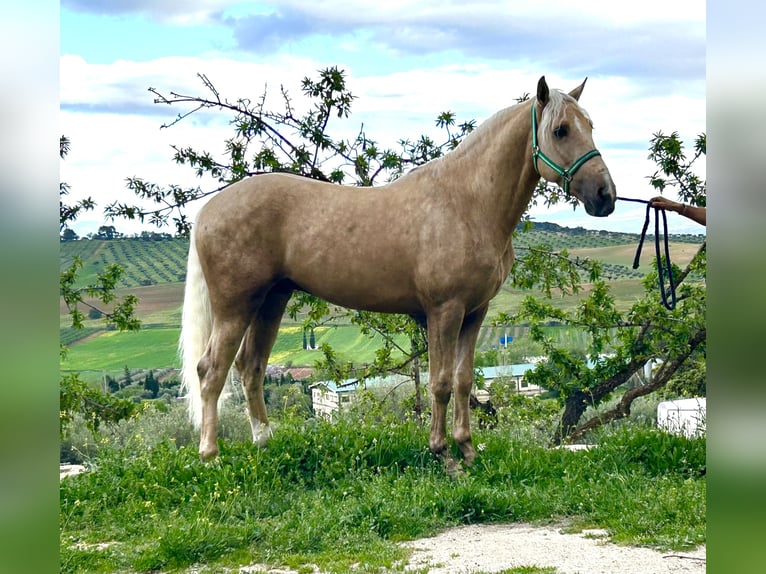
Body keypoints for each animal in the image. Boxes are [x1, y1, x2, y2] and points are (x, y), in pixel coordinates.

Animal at [180, 75, 616, 468]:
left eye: (591, 125)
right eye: (560, 130)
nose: (605, 196)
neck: (467, 201)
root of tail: (209, 209)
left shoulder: (475, 313)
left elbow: (463, 380)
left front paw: (468, 449)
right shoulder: (445, 311)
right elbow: (440, 382)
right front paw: (445, 455)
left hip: (271, 300)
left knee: (250, 367)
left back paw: (264, 442)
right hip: (236, 306)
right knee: (211, 371)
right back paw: (210, 456)